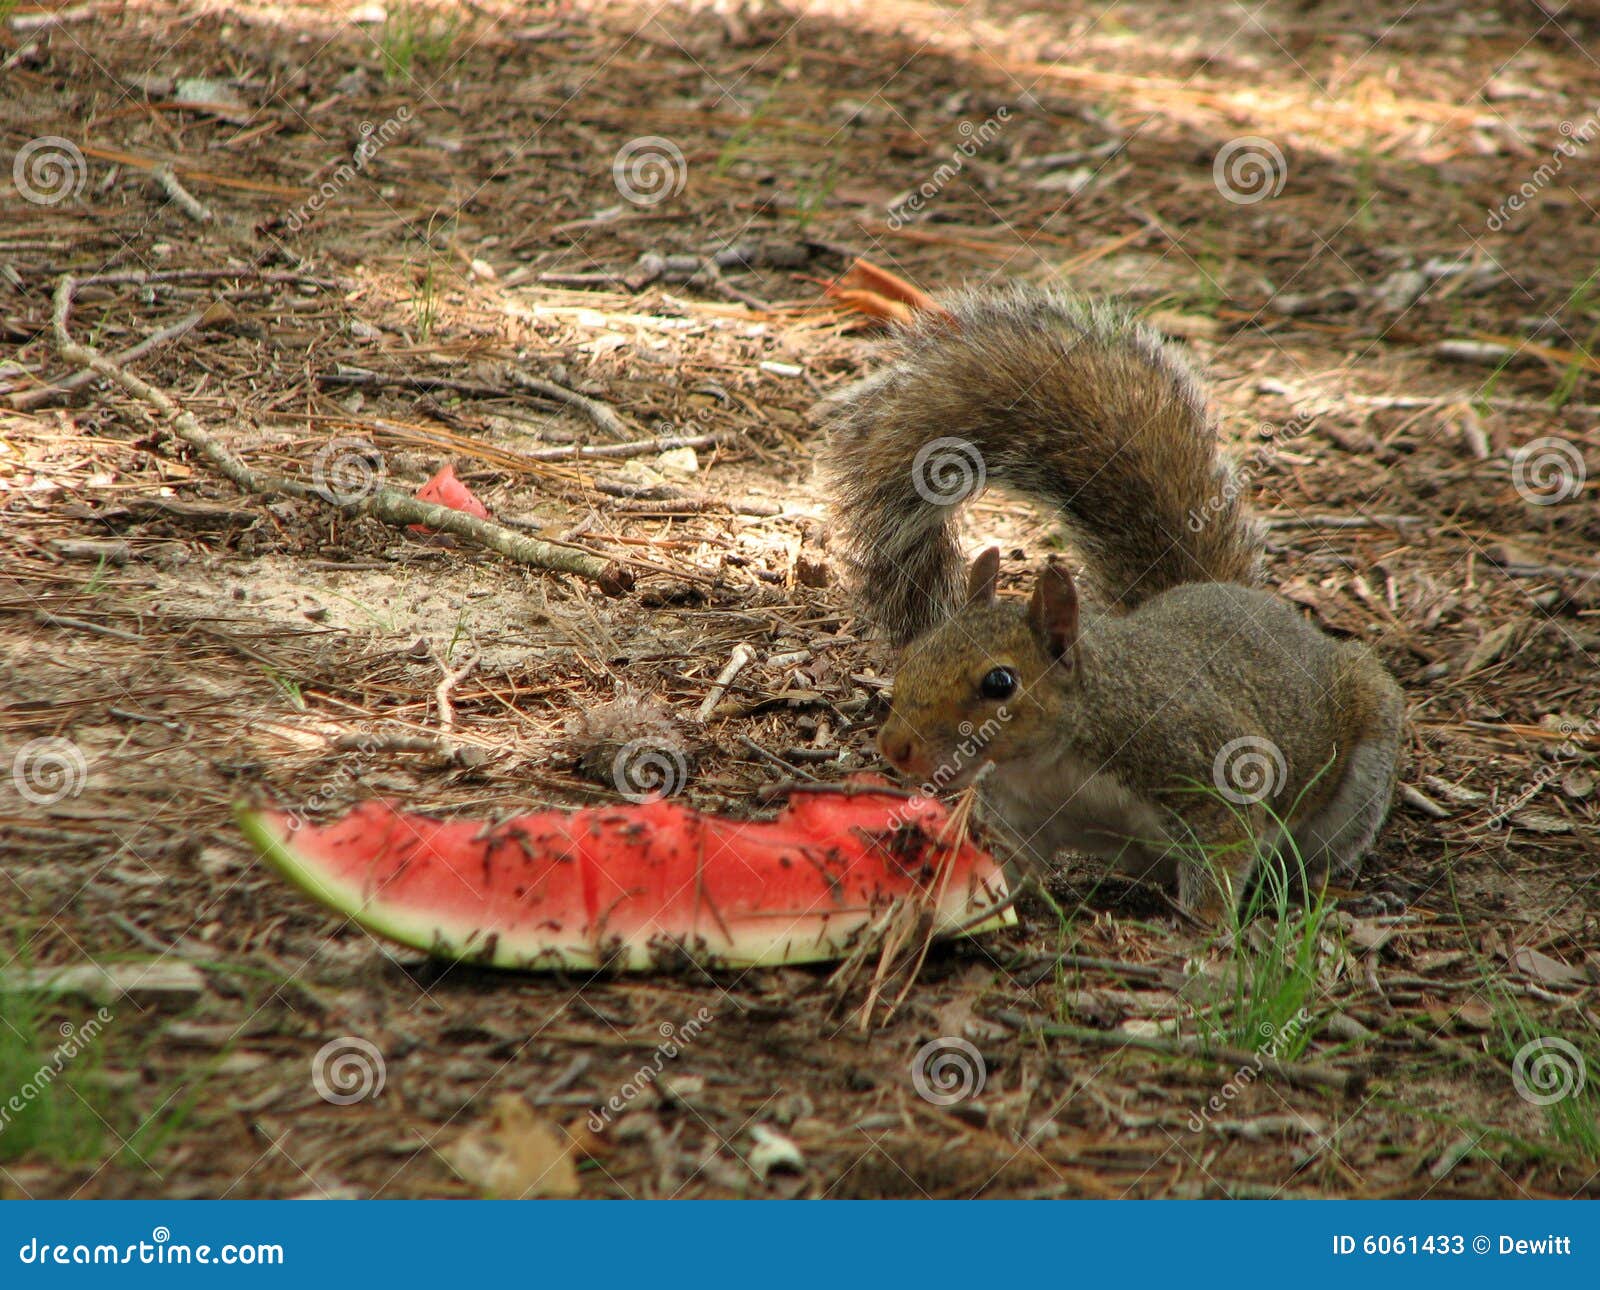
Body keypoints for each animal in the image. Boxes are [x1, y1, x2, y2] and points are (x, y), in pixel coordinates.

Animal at [821, 284, 1405, 919]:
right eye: (914, 657)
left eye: (1000, 683)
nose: (894, 747)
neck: (1053, 762)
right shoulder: (1023, 816)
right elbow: (1018, 871)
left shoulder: (1210, 766)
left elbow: (1222, 854)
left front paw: (1204, 927)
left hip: (1361, 759)